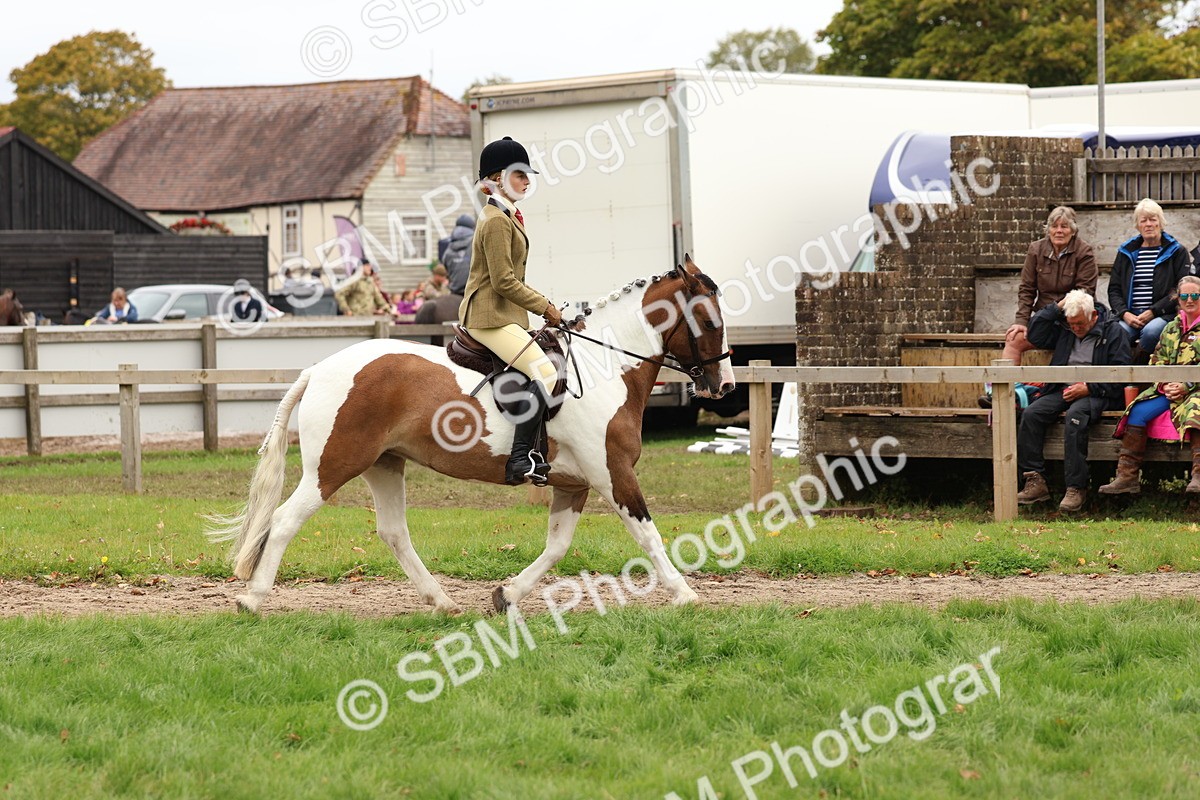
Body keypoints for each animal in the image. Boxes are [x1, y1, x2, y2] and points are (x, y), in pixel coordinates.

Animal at [206, 257, 736, 615]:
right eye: (709, 320)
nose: (724, 385)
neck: (606, 367)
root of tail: (318, 368)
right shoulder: (612, 473)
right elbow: (648, 535)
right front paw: (685, 594)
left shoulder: (574, 483)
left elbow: (557, 547)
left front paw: (507, 594)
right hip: (334, 466)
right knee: (285, 520)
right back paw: (253, 599)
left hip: (384, 464)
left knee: (394, 532)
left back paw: (441, 601)